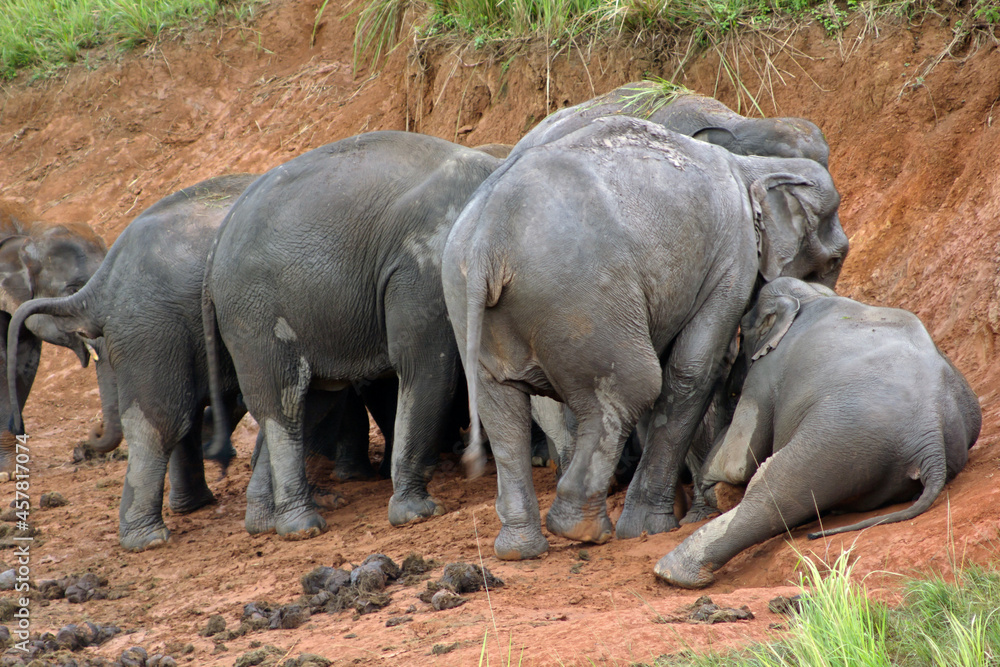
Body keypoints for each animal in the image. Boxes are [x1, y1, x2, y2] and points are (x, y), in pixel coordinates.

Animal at [202, 131, 503, 539]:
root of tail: (215, 250)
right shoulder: (422, 266)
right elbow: (425, 365)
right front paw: (417, 514)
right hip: (252, 313)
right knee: (285, 402)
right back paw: (302, 527)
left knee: (311, 401)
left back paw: (264, 523)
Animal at [442, 116, 848, 560]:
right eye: (835, 259)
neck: (752, 166)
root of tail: (487, 242)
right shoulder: (732, 258)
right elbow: (694, 370)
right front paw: (654, 527)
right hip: (581, 298)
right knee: (630, 388)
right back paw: (583, 530)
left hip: (473, 304)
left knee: (502, 411)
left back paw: (520, 549)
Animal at [655, 278, 981, 589]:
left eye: (743, 332)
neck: (810, 296)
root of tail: (931, 437)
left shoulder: (765, 374)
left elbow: (738, 461)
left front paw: (709, 484)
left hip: (841, 436)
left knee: (772, 492)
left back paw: (671, 572)